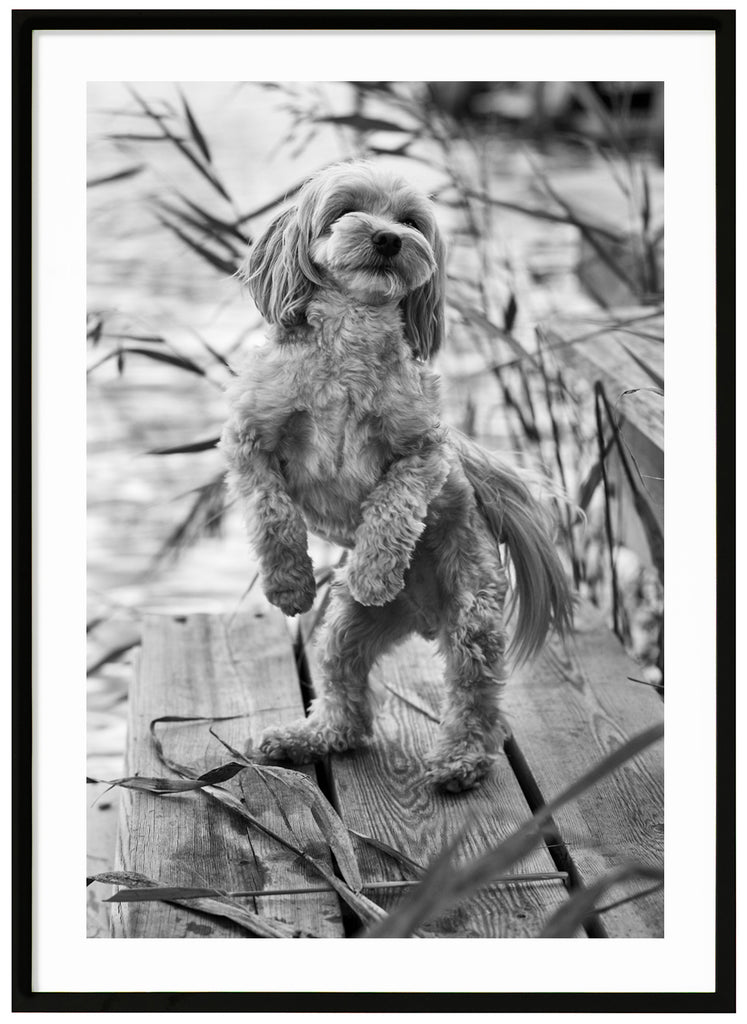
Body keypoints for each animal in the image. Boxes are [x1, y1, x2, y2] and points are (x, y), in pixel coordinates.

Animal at [221, 159, 569, 790]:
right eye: (344, 210)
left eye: (411, 221)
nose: (388, 238)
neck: (350, 343)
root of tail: (423, 617)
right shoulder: (248, 438)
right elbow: (271, 512)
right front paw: (289, 584)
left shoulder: (425, 450)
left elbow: (393, 506)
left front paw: (375, 572)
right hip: (343, 631)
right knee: (345, 699)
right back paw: (308, 737)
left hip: (473, 610)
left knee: (476, 694)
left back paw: (460, 760)